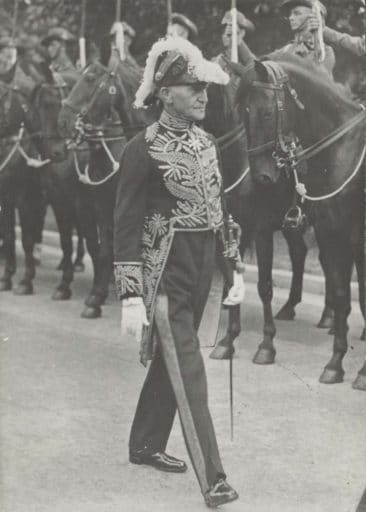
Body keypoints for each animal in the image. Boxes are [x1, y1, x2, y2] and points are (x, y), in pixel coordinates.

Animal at [233, 56, 364, 390]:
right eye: (243, 114)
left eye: (267, 112)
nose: (261, 177)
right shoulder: (332, 233)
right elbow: (342, 295)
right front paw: (335, 364)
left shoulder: (357, 240)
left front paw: (361, 373)